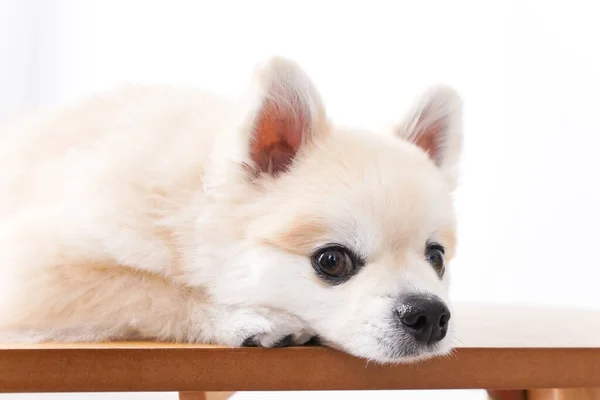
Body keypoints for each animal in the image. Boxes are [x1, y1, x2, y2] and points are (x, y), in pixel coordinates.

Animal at [0, 57, 464, 366]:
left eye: (436, 257)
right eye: (332, 261)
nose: (429, 314)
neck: (189, 202)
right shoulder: (32, 274)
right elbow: (147, 290)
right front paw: (243, 317)